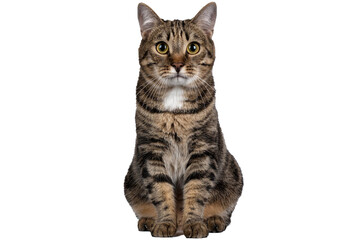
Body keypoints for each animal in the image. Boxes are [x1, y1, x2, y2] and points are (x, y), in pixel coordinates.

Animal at [123, 2, 243, 238]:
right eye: (162, 47)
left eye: (193, 47)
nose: (177, 64)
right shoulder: (151, 150)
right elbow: (161, 191)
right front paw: (165, 223)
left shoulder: (202, 149)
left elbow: (196, 190)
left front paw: (194, 223)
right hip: (130, 180)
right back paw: (149, 220)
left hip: (234, 175)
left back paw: (214, 220)